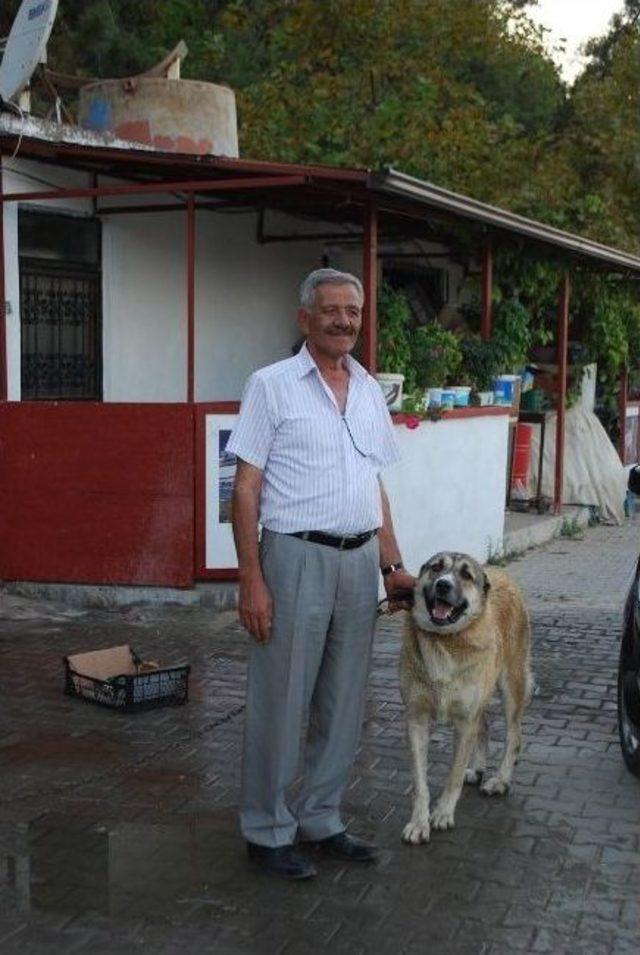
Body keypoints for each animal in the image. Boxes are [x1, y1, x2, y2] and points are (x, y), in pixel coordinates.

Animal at [400, 552, 528, 844]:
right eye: (436, 568)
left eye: (466, 575)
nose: (443, 585)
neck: (446, 642)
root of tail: (504, 575)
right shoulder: (416, 720)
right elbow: (419, 782)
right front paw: (419, 822)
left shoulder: (464, 721)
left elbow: (453, 775)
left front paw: (443, 813)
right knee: (485, 726)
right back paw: (478, 768)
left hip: (511, 688)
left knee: (513, 737)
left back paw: (500, 781)